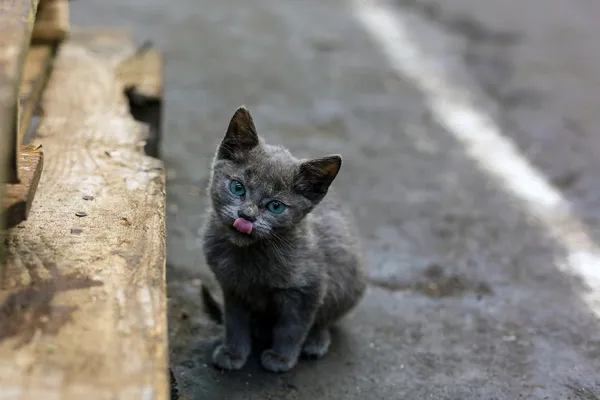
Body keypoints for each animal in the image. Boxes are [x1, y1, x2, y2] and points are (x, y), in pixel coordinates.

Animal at [200, 105, 366, 372]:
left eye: (275, 206)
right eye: (237, 187)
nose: (246, 216)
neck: (250, 256)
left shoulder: (309, 289)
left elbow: (292, 327)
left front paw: (281, 358)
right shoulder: (232, 287)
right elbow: (235, 321)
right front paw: (233, 352)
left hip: (349, 283)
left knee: (325, 320)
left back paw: (315, 341)